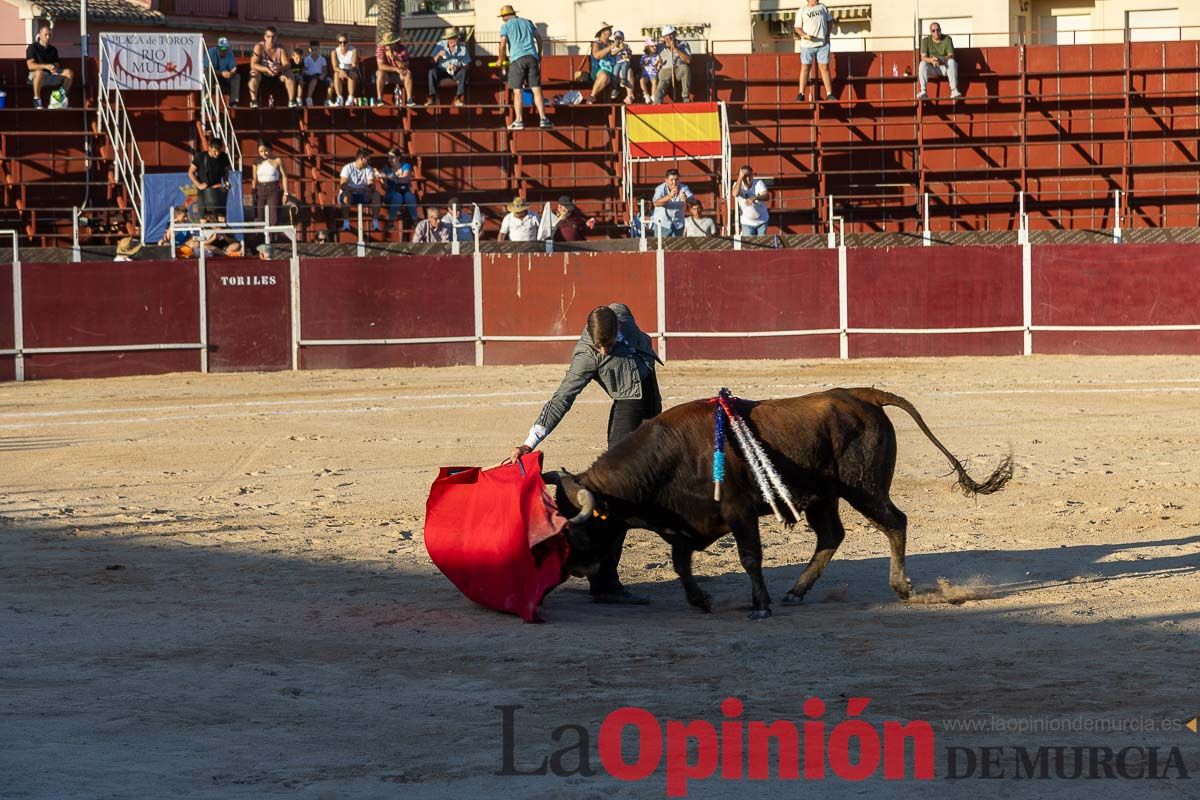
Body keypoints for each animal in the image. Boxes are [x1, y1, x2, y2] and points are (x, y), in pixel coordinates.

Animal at [547, 388, 1012, 618]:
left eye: (583, 527)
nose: (576, 567)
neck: (669, 457)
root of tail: (864, 396)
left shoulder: (738, 513)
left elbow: (750, 557)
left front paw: (760, 605)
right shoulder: (690, 525)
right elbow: (681, 563)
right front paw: (701, 601)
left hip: (863, 488)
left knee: (895, 522)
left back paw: (899, 587)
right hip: (825, 497)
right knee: (831, 536)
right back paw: (796, 592)